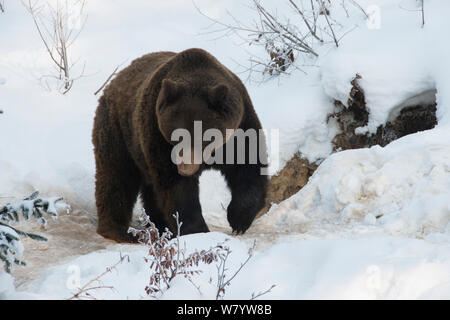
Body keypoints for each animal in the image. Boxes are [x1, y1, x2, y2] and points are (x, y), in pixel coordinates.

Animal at [92, 48, 268, 242]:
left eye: (202, 137)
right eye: (176, 135)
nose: (185, 168)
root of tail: (114, 81)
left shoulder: (238, 130)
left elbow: (248, 168)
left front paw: (238, 220)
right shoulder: (157, 132)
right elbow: (176, 187)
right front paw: (198, 231)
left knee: (148, 188)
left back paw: (158, 226)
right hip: (119, 129)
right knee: (116, 175)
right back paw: (117, 230)